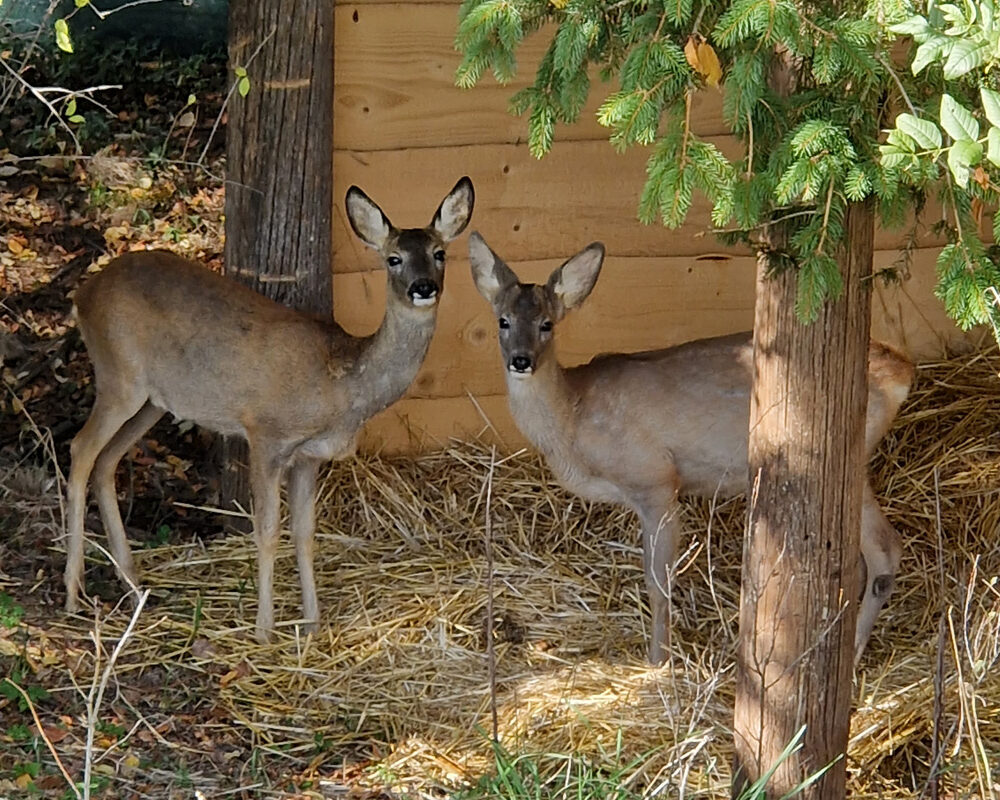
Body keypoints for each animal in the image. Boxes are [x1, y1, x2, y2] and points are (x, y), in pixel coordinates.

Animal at [65, 177, 472, 644]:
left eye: (439, 253)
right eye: (393, 259)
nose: (423, 287)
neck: (341, 385)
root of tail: (82, 294)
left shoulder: (310, 456)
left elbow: (305, 532)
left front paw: (311, 623)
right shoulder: (265, 434)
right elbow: (267, 531)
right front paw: (264, 629)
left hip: (152, 400)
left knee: (106, 462)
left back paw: (133, 586)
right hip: (119, 377)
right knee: (81, 450)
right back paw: (73, 592)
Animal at [468, 233, 916, 668]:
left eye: (547, 324)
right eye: (503, 321)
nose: (521, 360)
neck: (574, 420)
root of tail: (903, 370)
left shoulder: (655, 480)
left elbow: (658, 581)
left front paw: (658, 661)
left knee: (880, 550)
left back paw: (852, 654)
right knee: (874, 553)